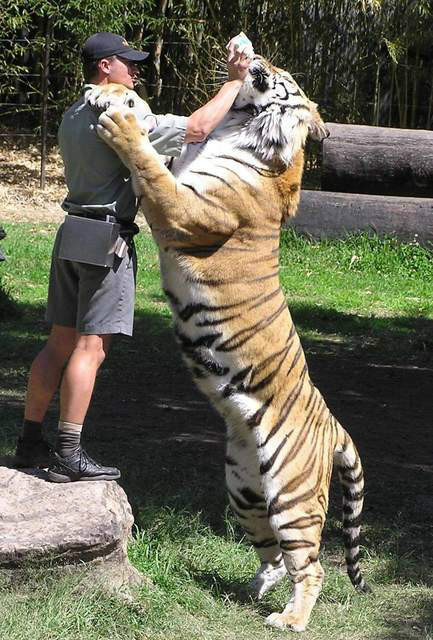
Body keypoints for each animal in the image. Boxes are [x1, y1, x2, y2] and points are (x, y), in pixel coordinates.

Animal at [89, 56, 370, 636]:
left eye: (283, 76)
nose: (254, 59)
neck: (243, 132)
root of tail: (334, 424)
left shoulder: (187, 207)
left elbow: (148, 163)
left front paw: (122, 124)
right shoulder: (183, 171)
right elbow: (165, 142)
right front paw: (113, 95)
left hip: (291, 494)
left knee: (310, 565)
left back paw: (290, 619)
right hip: (243, 488)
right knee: (273, 555)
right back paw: (256, 588)